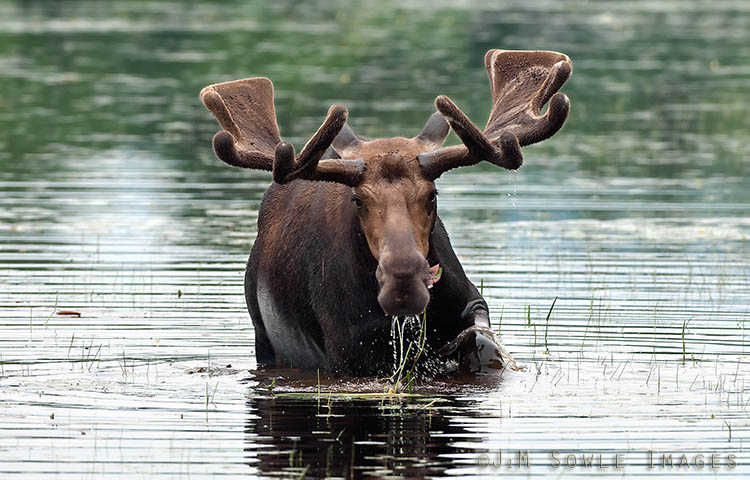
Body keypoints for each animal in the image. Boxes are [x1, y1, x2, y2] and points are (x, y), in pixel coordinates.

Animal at [200, 49, 572, 376]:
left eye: (432, 195)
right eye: (358, 200)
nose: (403, 283)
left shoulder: (473, 301)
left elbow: (480, 338)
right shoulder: (348, 355)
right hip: (262, 335)